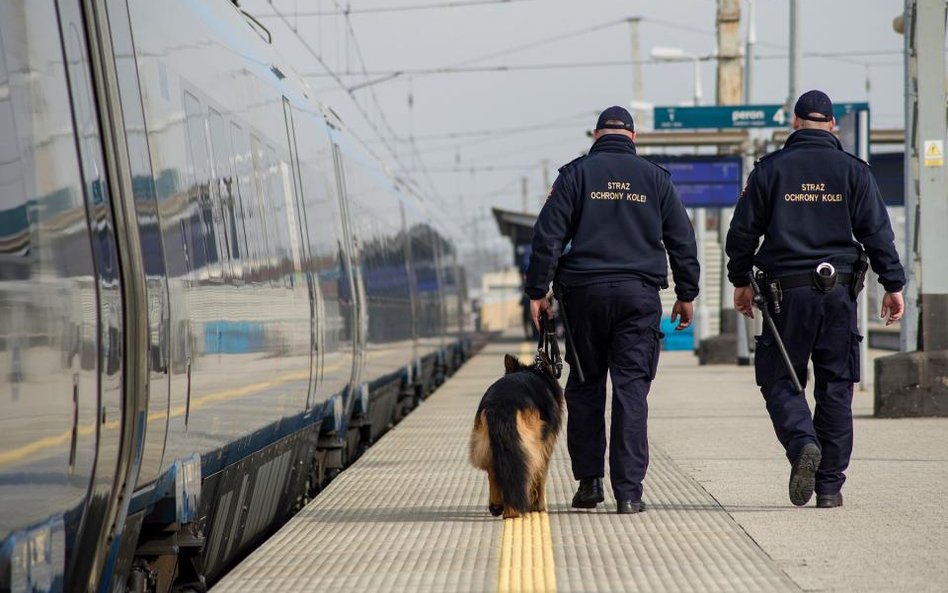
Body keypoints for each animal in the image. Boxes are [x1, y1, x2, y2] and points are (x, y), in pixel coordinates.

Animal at [468, 354, 564, 516]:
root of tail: (502, 403)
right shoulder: (545, 446)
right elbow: (541, 476)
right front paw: (539, 506)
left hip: (487, 445)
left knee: (494, 472)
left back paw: (498, 506)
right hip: (530, 445)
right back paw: (513, 511)